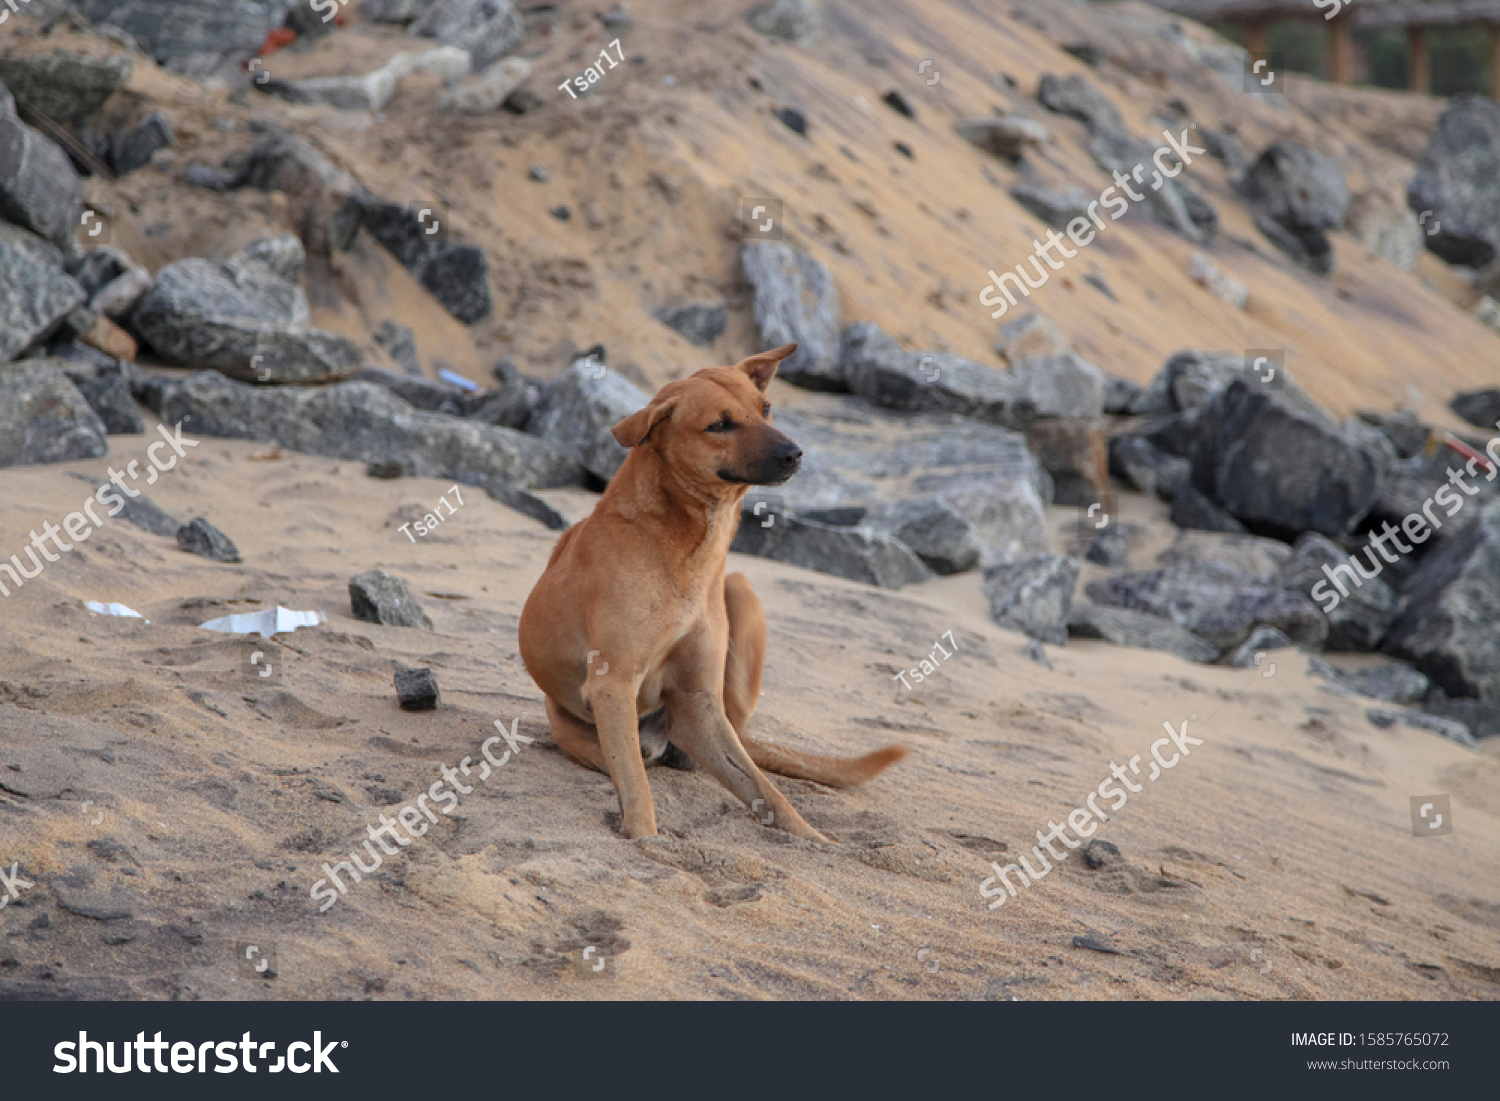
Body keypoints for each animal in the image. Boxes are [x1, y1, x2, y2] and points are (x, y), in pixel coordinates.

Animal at [522, 346, 906, 846]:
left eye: (766, 409)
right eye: (720, 425)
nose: (794, 454)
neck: (685, 546)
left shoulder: (700, 705)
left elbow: (765, 790)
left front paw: (817, 842)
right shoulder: (613, 684)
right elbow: (636, 784)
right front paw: (646, 840)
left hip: (738, 594)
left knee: (742, 743)